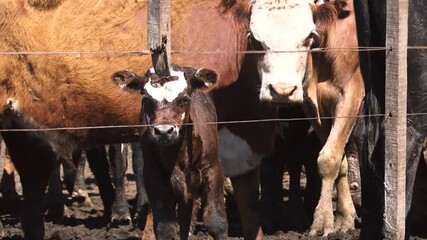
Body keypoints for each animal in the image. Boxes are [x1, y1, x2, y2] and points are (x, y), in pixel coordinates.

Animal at [112, 63, 229, 240]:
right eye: (145, 99)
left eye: (185, 99)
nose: (164, 131)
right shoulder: (154, 178)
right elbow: (165, 228)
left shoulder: (213, 168)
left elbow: (216, 222)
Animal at [249, 0, 366, 236]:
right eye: (254, 39)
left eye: (308, 36)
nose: (282, 90)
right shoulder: (312, 106)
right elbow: (335, 159)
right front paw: (344, 217)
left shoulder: (351, 94)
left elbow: (329, 158)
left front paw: (322, 221)